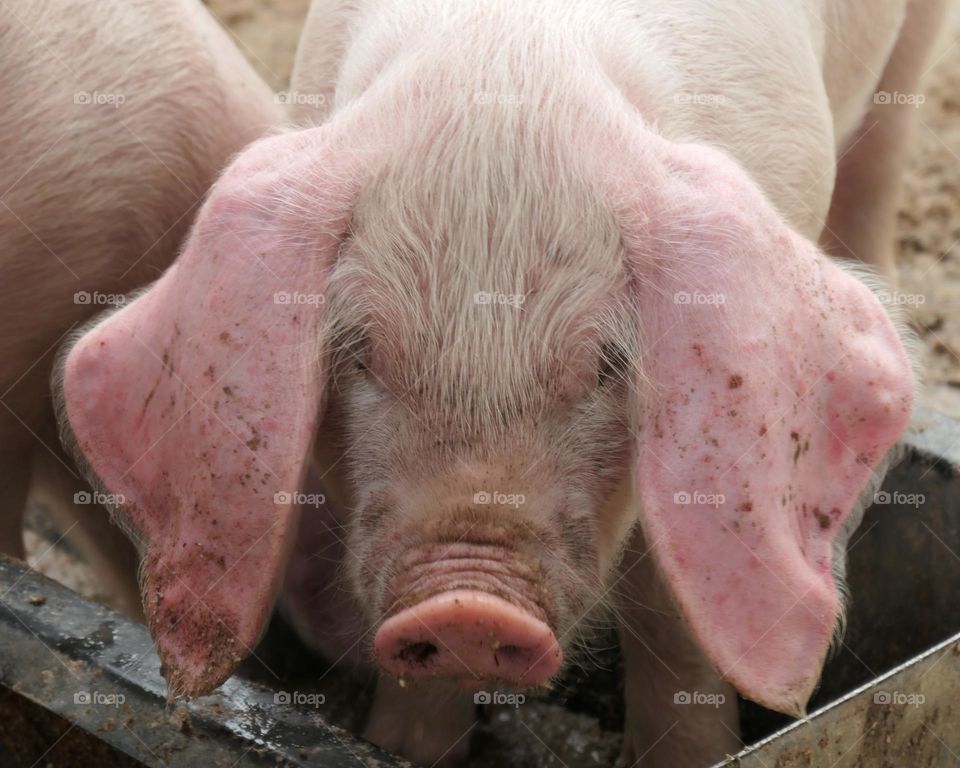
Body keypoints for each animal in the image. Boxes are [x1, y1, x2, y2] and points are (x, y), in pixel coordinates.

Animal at [48, 1, 940, 768]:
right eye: (358, 352)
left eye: (609, 363)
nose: (467, 605)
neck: (510, 64)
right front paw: (402, 748)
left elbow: (673, 610)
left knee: (886, 143)